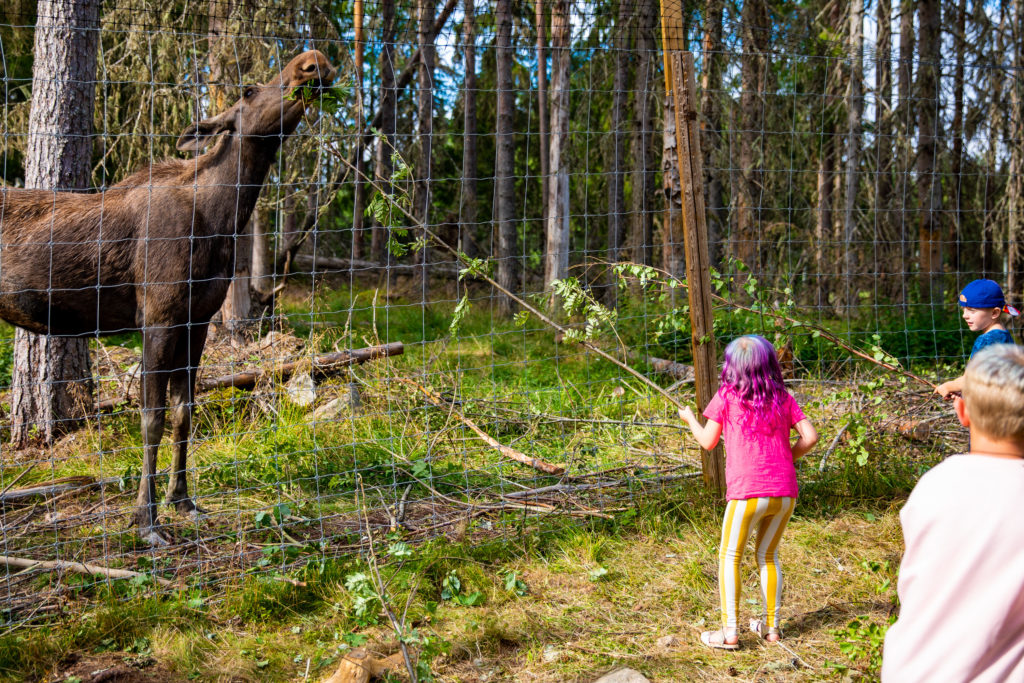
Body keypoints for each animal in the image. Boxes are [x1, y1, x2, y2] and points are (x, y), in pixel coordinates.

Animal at [0, 50, 337, 544]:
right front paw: (146, 518)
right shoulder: (158, 318)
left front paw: (182, 500)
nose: (313, 61)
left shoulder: (197, 320)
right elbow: (151, 419)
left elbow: (184, 412)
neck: (221, 218)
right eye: (249, 90)